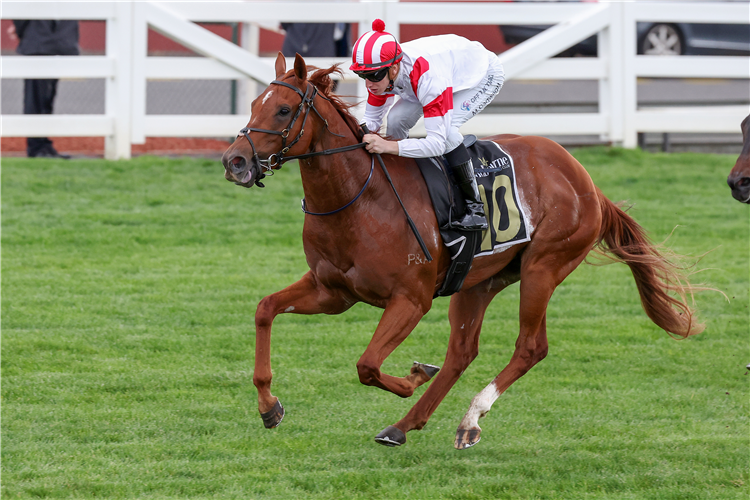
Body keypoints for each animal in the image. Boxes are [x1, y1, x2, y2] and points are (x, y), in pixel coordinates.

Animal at [222, 53, 704, 450]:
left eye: (283, 110)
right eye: (254, 104)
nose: (234, 161)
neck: (359, 198)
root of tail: (585, 179)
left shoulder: (410, 299)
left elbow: (368, 365)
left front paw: (414, 376)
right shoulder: (333, 292)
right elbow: (265, 310)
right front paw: (269, 406)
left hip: (544, 267)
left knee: (530, 347)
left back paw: (469, 418)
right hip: (480, 280)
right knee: (462, 352)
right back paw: (405, 425)